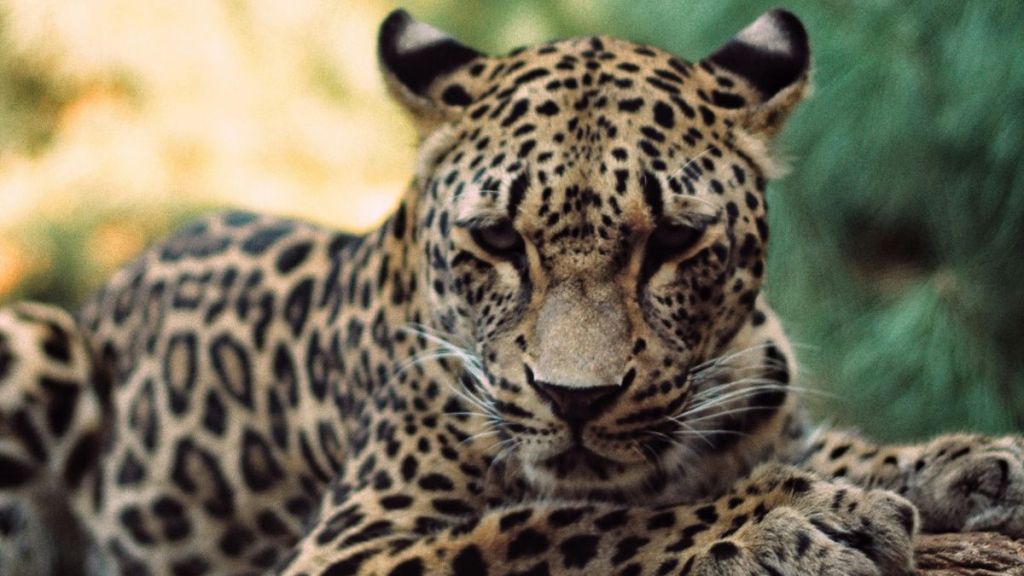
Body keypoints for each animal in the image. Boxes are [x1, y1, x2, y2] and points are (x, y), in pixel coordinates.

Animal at [2, 8, 1024, 573]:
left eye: (675, 241)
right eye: (497, 239)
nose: (575, 400)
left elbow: (852, 448)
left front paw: (977, 464)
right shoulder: (357, 543)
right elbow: (565, 523)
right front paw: (785, 520)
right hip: (37, 338)